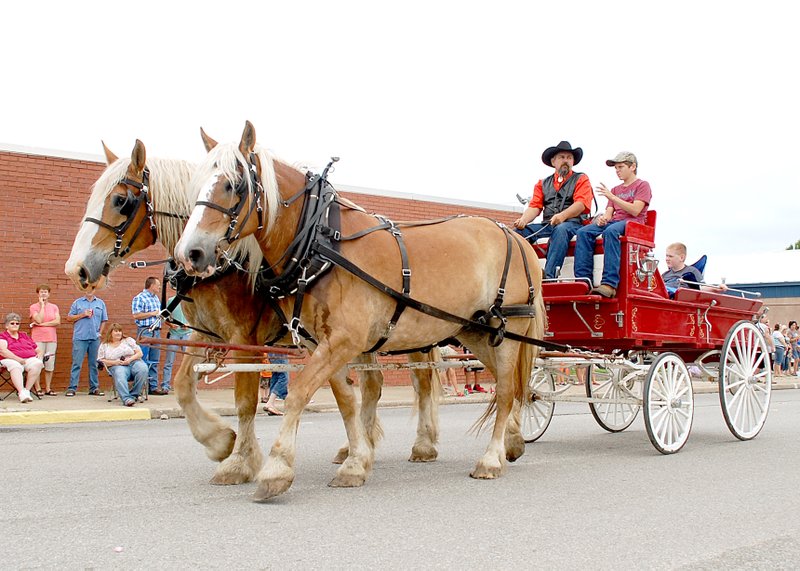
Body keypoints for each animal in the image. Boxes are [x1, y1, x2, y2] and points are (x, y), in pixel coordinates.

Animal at [175, 119, 548, 500]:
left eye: (234, 185)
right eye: (195, 187)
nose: (190, 254)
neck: (319, 244)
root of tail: (515, 235)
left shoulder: (342, 340)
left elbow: (297, 393)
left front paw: (275, 468)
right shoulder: (321, 343)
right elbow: (345, 401)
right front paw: (356, 461)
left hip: (506, 332)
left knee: (506, 390)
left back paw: (490, 458)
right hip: (474, 331)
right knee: (509, 384)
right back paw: (511, 443)